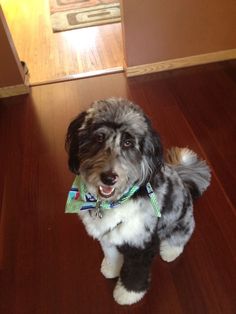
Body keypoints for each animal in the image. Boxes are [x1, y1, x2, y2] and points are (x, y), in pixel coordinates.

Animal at [64, 97, 210, 304]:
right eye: (99, 138)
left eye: (128, 142)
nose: (108, 177)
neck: (113, 201)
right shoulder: (108, 236)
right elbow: (111, 254)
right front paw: (111, 268)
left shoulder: (142, 242)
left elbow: (135, 272)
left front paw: (127, 294)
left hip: (182, 221)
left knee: (181, 237)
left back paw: (170, 251)